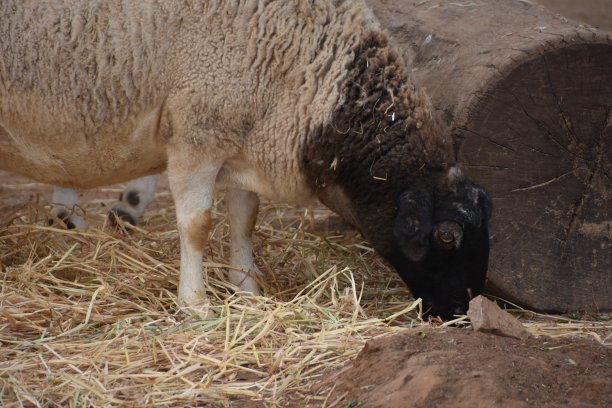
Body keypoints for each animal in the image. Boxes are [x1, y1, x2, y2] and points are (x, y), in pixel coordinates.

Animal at [0, 0, 490, 318]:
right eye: (446, 236)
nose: (462, 311)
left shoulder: (241, 144)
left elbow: (245, 218)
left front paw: (248, 290)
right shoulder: (197, 133)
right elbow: (197, 225)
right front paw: (196, 305)